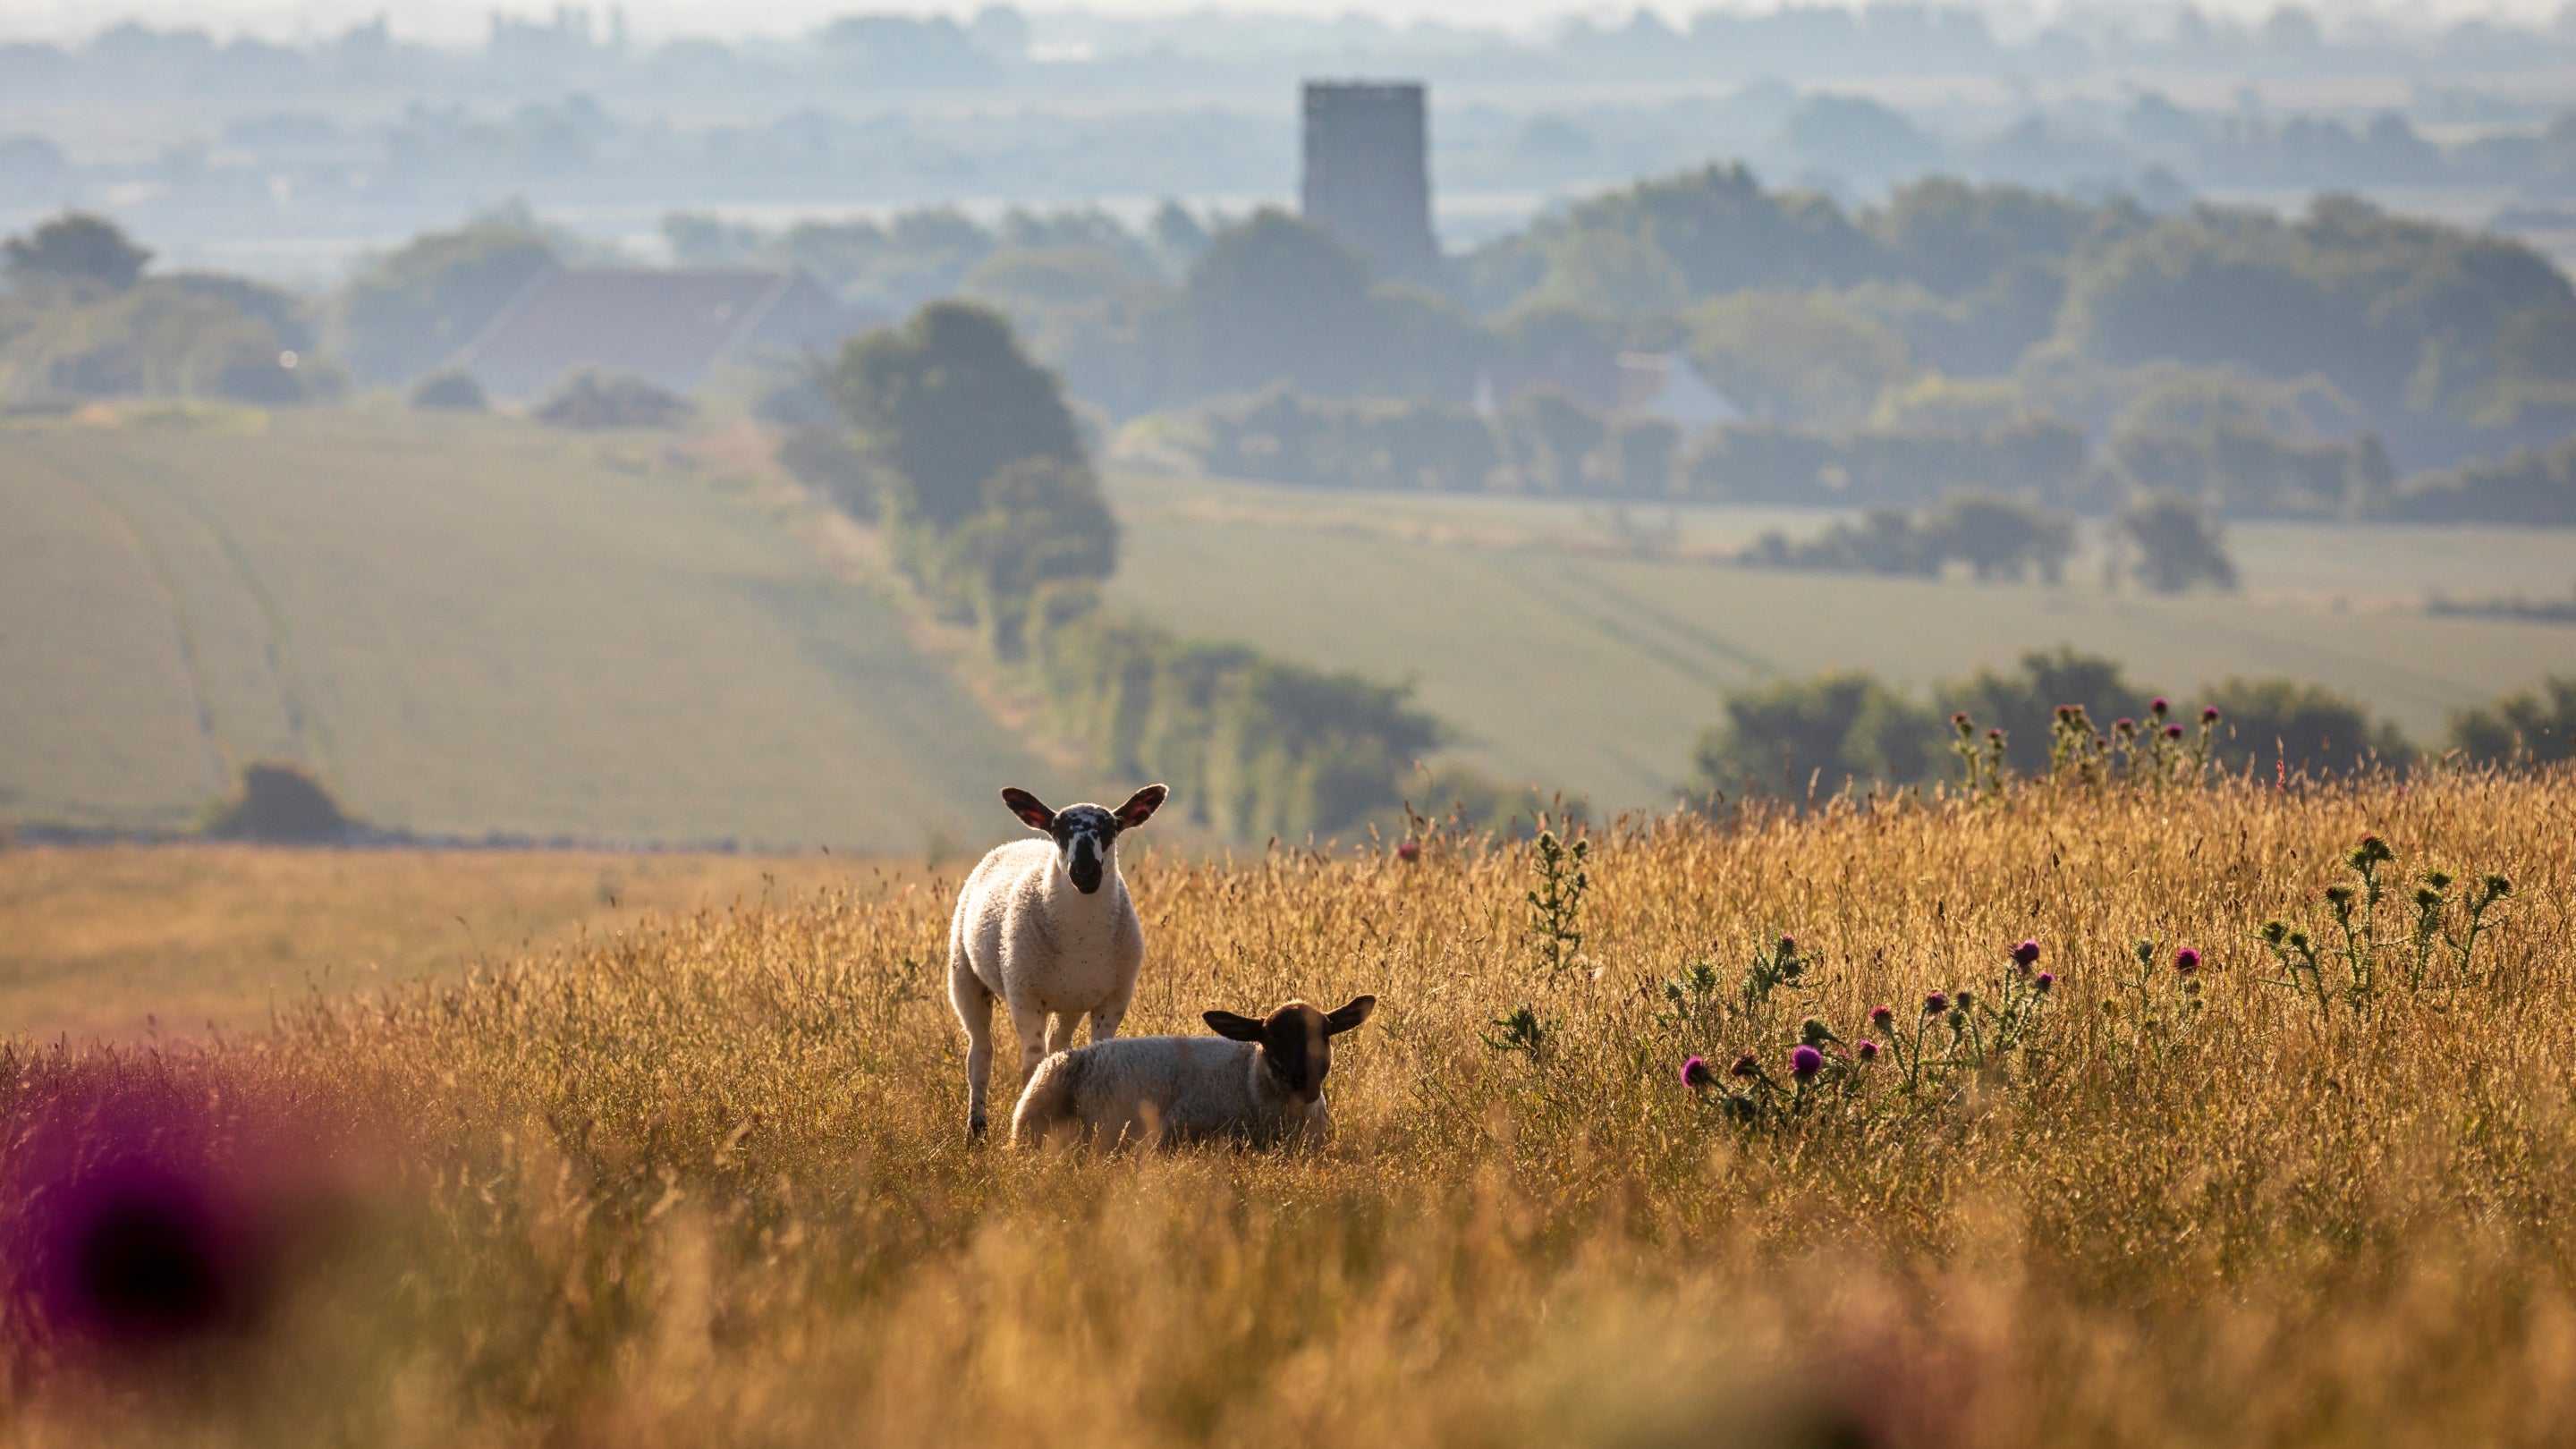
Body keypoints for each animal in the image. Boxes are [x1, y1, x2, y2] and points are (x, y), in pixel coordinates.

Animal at [949, 783, 1168, 1137]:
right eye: (1058, 830)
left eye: (1112, 828)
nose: (1085, 872)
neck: (1080, 940)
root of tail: (1018, 842)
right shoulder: (1024, 996)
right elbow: (1031, 1065)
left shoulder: (1114, 999)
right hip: (964, 973)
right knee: (980, 1054)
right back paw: (977, 1130)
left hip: (1071, 1001)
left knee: (1059, 1045)